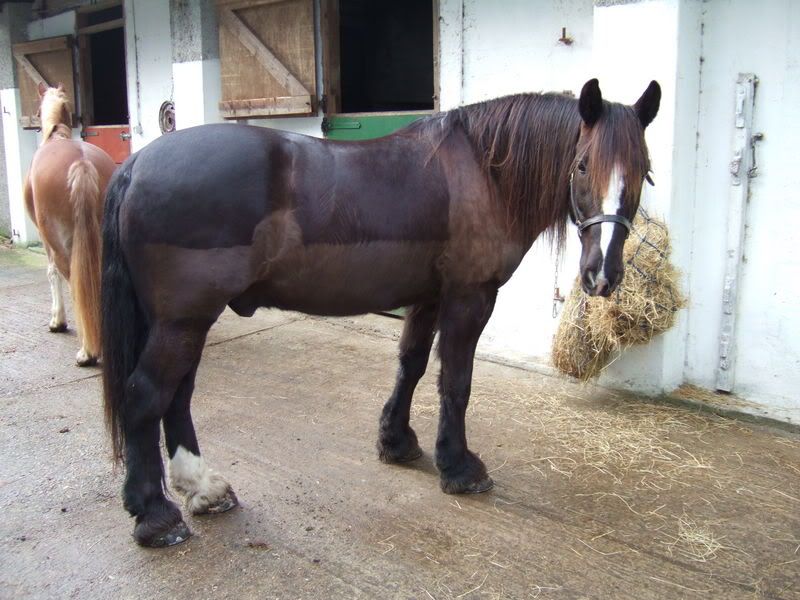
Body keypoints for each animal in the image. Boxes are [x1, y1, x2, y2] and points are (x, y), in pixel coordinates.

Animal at [23, 82, 117, 366]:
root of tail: (82, 164)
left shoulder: (45, 239)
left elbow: (51, 272)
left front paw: (57, 321)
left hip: (60, 240)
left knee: (71, 279)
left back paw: (87, 352)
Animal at [101, 78, 660, 547]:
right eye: (583, 165)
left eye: (643, 172)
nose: (602, 275)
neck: (484, 172)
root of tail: (136, 166)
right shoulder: (470, 296)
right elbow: (456, 382)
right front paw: (459, 466)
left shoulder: (429, 295)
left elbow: (411, 365)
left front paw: (397, 441)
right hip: (184, 319)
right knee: (147, 395)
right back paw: (155, 514)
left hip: (183, 320)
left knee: (178, 396)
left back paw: (204, 488)